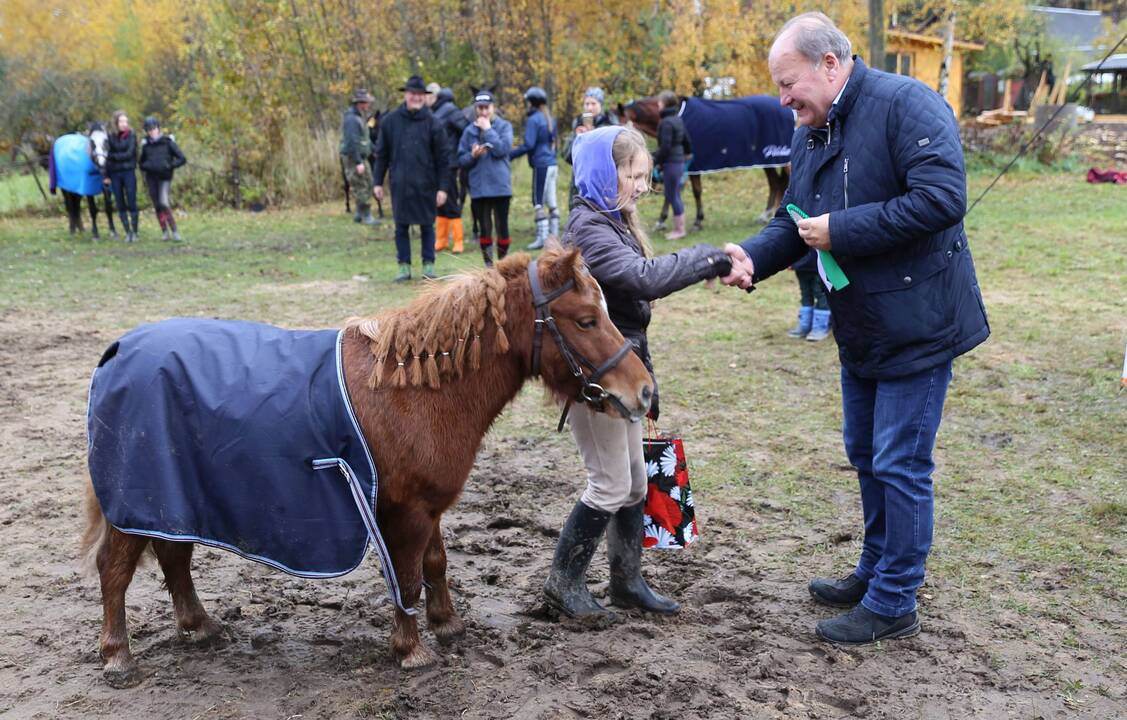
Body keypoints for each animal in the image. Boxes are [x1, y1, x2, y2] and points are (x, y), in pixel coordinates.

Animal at [83, 247, 658, 685]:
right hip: (136, 501)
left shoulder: (429, 506)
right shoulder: (408, 512)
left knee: (173, 555)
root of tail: (119, 351)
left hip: (171, 499)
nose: (644, 392)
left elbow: (434, 564)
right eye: (586, 320)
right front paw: (411, 649)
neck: (417, 391)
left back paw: (199, 626)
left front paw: (447, 625)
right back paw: (118, 658)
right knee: (115, 570)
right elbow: (406, 577)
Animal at [617, 95, 793, 230]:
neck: (676, 116)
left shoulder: (691, 166)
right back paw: (765, 215)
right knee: (775, 183)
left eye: (617, 123)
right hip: (766, 161)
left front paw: (692, 221)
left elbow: (690, 192)